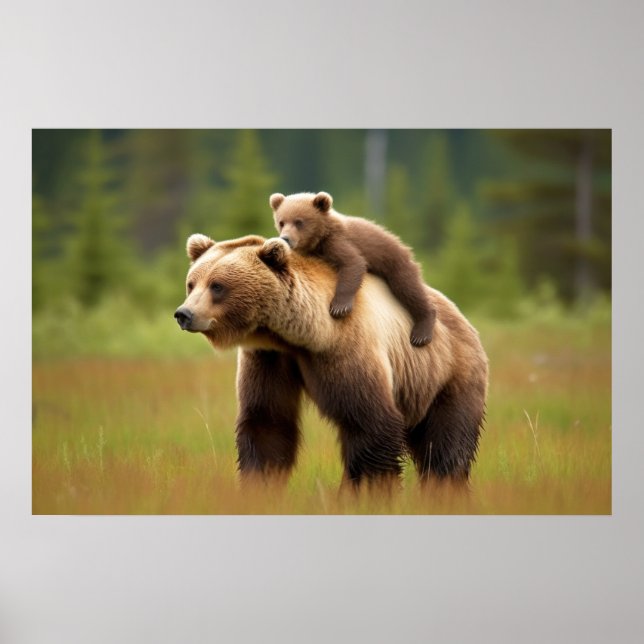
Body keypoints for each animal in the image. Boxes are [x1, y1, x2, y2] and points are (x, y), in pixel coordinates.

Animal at [174, 234, 488, 488]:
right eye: (192, 283)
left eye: (217, 286)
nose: (184, 314)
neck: (299, 334)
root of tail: (460, 314)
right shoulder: (268, 358)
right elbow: (267, 422)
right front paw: (260, 484)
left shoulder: (344, 349)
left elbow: (371, 424)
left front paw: (364, 491)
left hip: (448, 374)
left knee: (446, 446)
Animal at [270, 191, 437, 347]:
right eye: (281, 222)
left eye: (299, 222)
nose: (285, 238)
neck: (320, 238)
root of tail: (405, 248)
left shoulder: (337, 242)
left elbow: (353, 263)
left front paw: (339, 307)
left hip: (396, 263)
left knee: (409, 289)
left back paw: (421, 333)